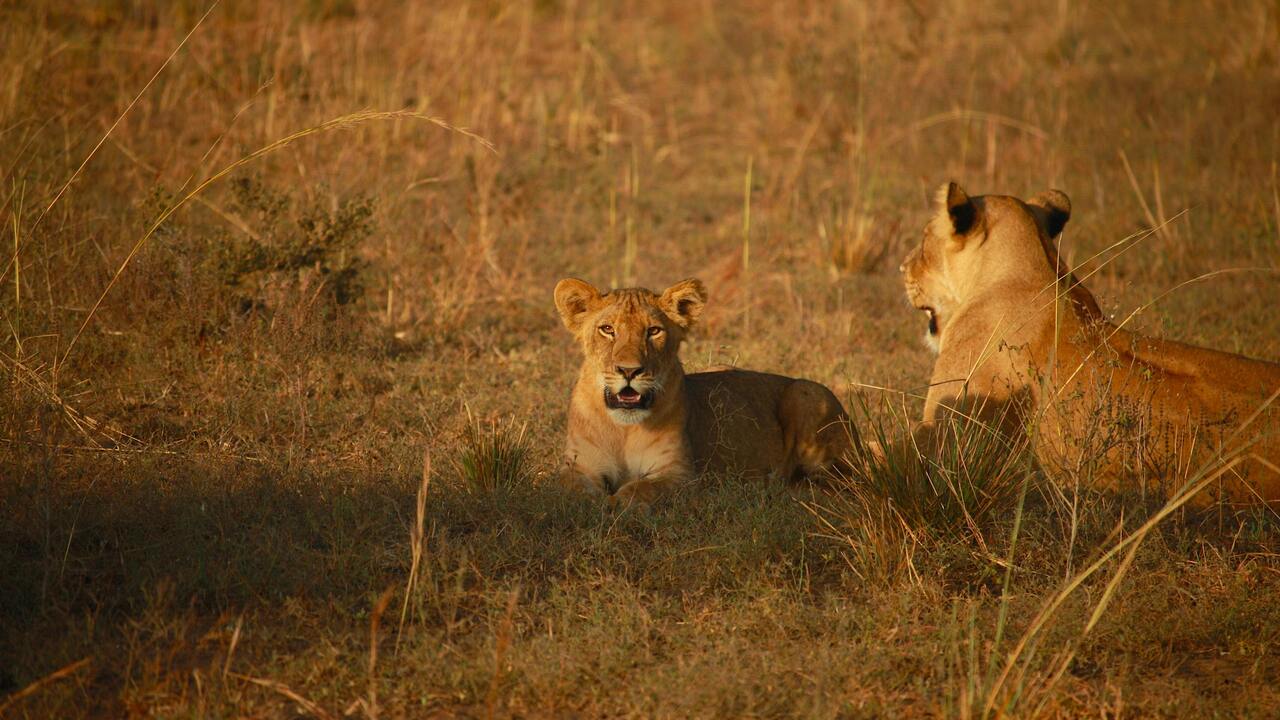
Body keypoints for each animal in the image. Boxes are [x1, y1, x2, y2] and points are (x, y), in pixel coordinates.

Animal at [553, 277, 852, 507]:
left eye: (654, 331)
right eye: (607, 329)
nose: (629, 371)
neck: (623, 429)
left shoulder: (681, 475)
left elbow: (642, 487)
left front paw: (615, 503)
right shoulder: (580, 466)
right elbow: (570, 488)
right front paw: (592, 504)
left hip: (807, 392)